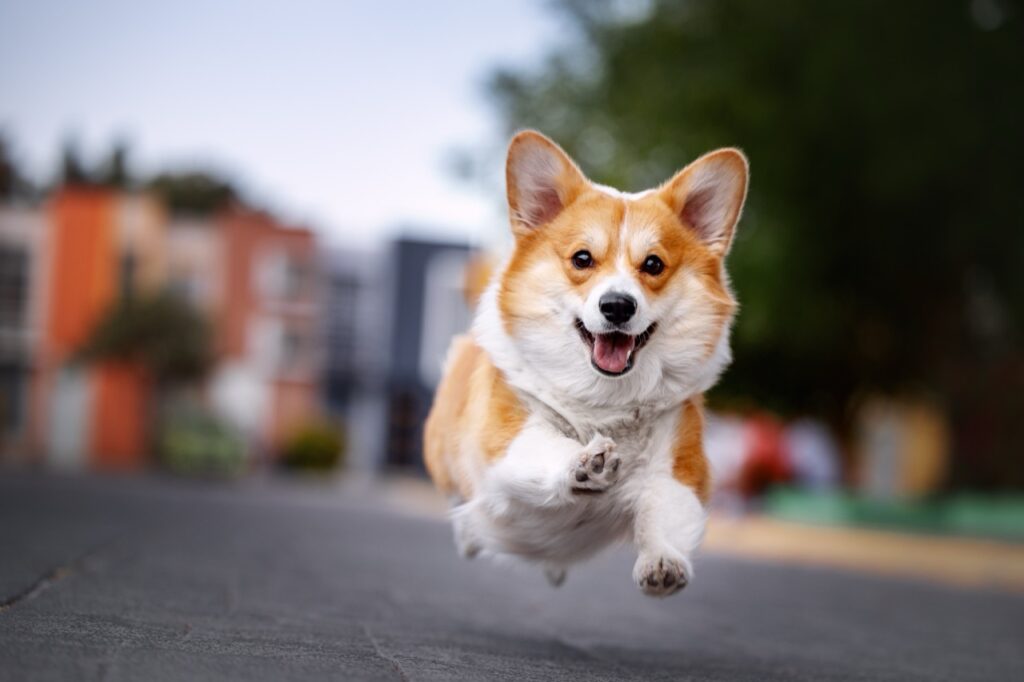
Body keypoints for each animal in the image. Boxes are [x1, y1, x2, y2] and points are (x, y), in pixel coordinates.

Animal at [419, 130, 749, 593]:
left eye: (653, 264)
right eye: (582, 259)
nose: (617, 306)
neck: (603, 403)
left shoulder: (681, 467)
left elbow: (665, 509)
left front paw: (663, 561)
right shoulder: (505, 436)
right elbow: (543, 445)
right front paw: (583, 463)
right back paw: (470, 533)